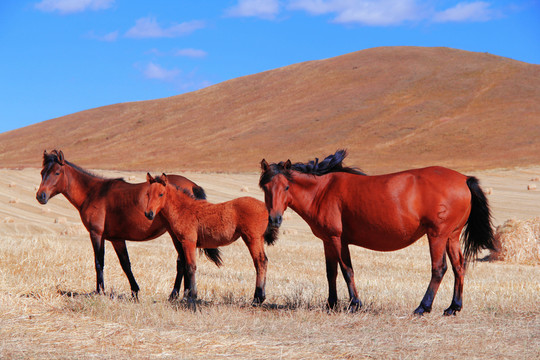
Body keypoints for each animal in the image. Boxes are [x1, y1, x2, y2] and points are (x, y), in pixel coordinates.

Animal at [36, 149, 221, 298]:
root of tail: (192, 185)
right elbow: (125, 264)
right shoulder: (116, 239)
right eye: (42, 172)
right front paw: (135, 292)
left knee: (182, 262)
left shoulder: (96, 234)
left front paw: (100, 292)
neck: (94, 193)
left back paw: (176, 295)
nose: (40, 196)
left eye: (57, 172)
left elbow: (99, 262)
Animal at [143, 173, 278, 308]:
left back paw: (257, 299)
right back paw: (260, 297)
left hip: (252, 239)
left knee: (260, 262)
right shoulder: (180, 243)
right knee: (263, 261)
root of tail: (265, 207)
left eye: (161, 194)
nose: (148, 214)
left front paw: (192, 297)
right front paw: (186, 297)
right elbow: (184, 266)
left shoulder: (189, 242)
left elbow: (191, 267)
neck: (184, 209)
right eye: (147, 194)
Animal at [260, 149, 496, 316]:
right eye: (265, 187)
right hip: (451, 237)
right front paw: (331, 304)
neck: (322, 191)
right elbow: (331, 273)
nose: (274, 219)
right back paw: (453, 307)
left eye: (286, 187)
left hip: (437, 236)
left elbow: (347, 271)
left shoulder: (338, 240)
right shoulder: (327, 241)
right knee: (459, 267)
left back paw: (423, 307)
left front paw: (354, 304)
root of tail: (464, 178)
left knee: (439, 268)